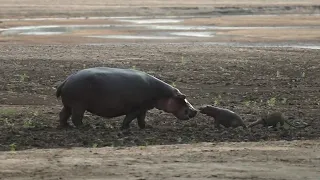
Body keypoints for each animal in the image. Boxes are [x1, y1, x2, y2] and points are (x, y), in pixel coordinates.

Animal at [56, 67, 199, 129]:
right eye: (182, 98)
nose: (195, 110)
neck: (163, 94)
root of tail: (65, 80)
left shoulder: (143, 108)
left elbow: (141, 119)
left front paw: (146, 127)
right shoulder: (136, 108)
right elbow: (129, 118)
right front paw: (125, 128)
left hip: (69, 105)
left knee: (63, 115)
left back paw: (65, 126)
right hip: (78, 106)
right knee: (76, 118)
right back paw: (86, 127)